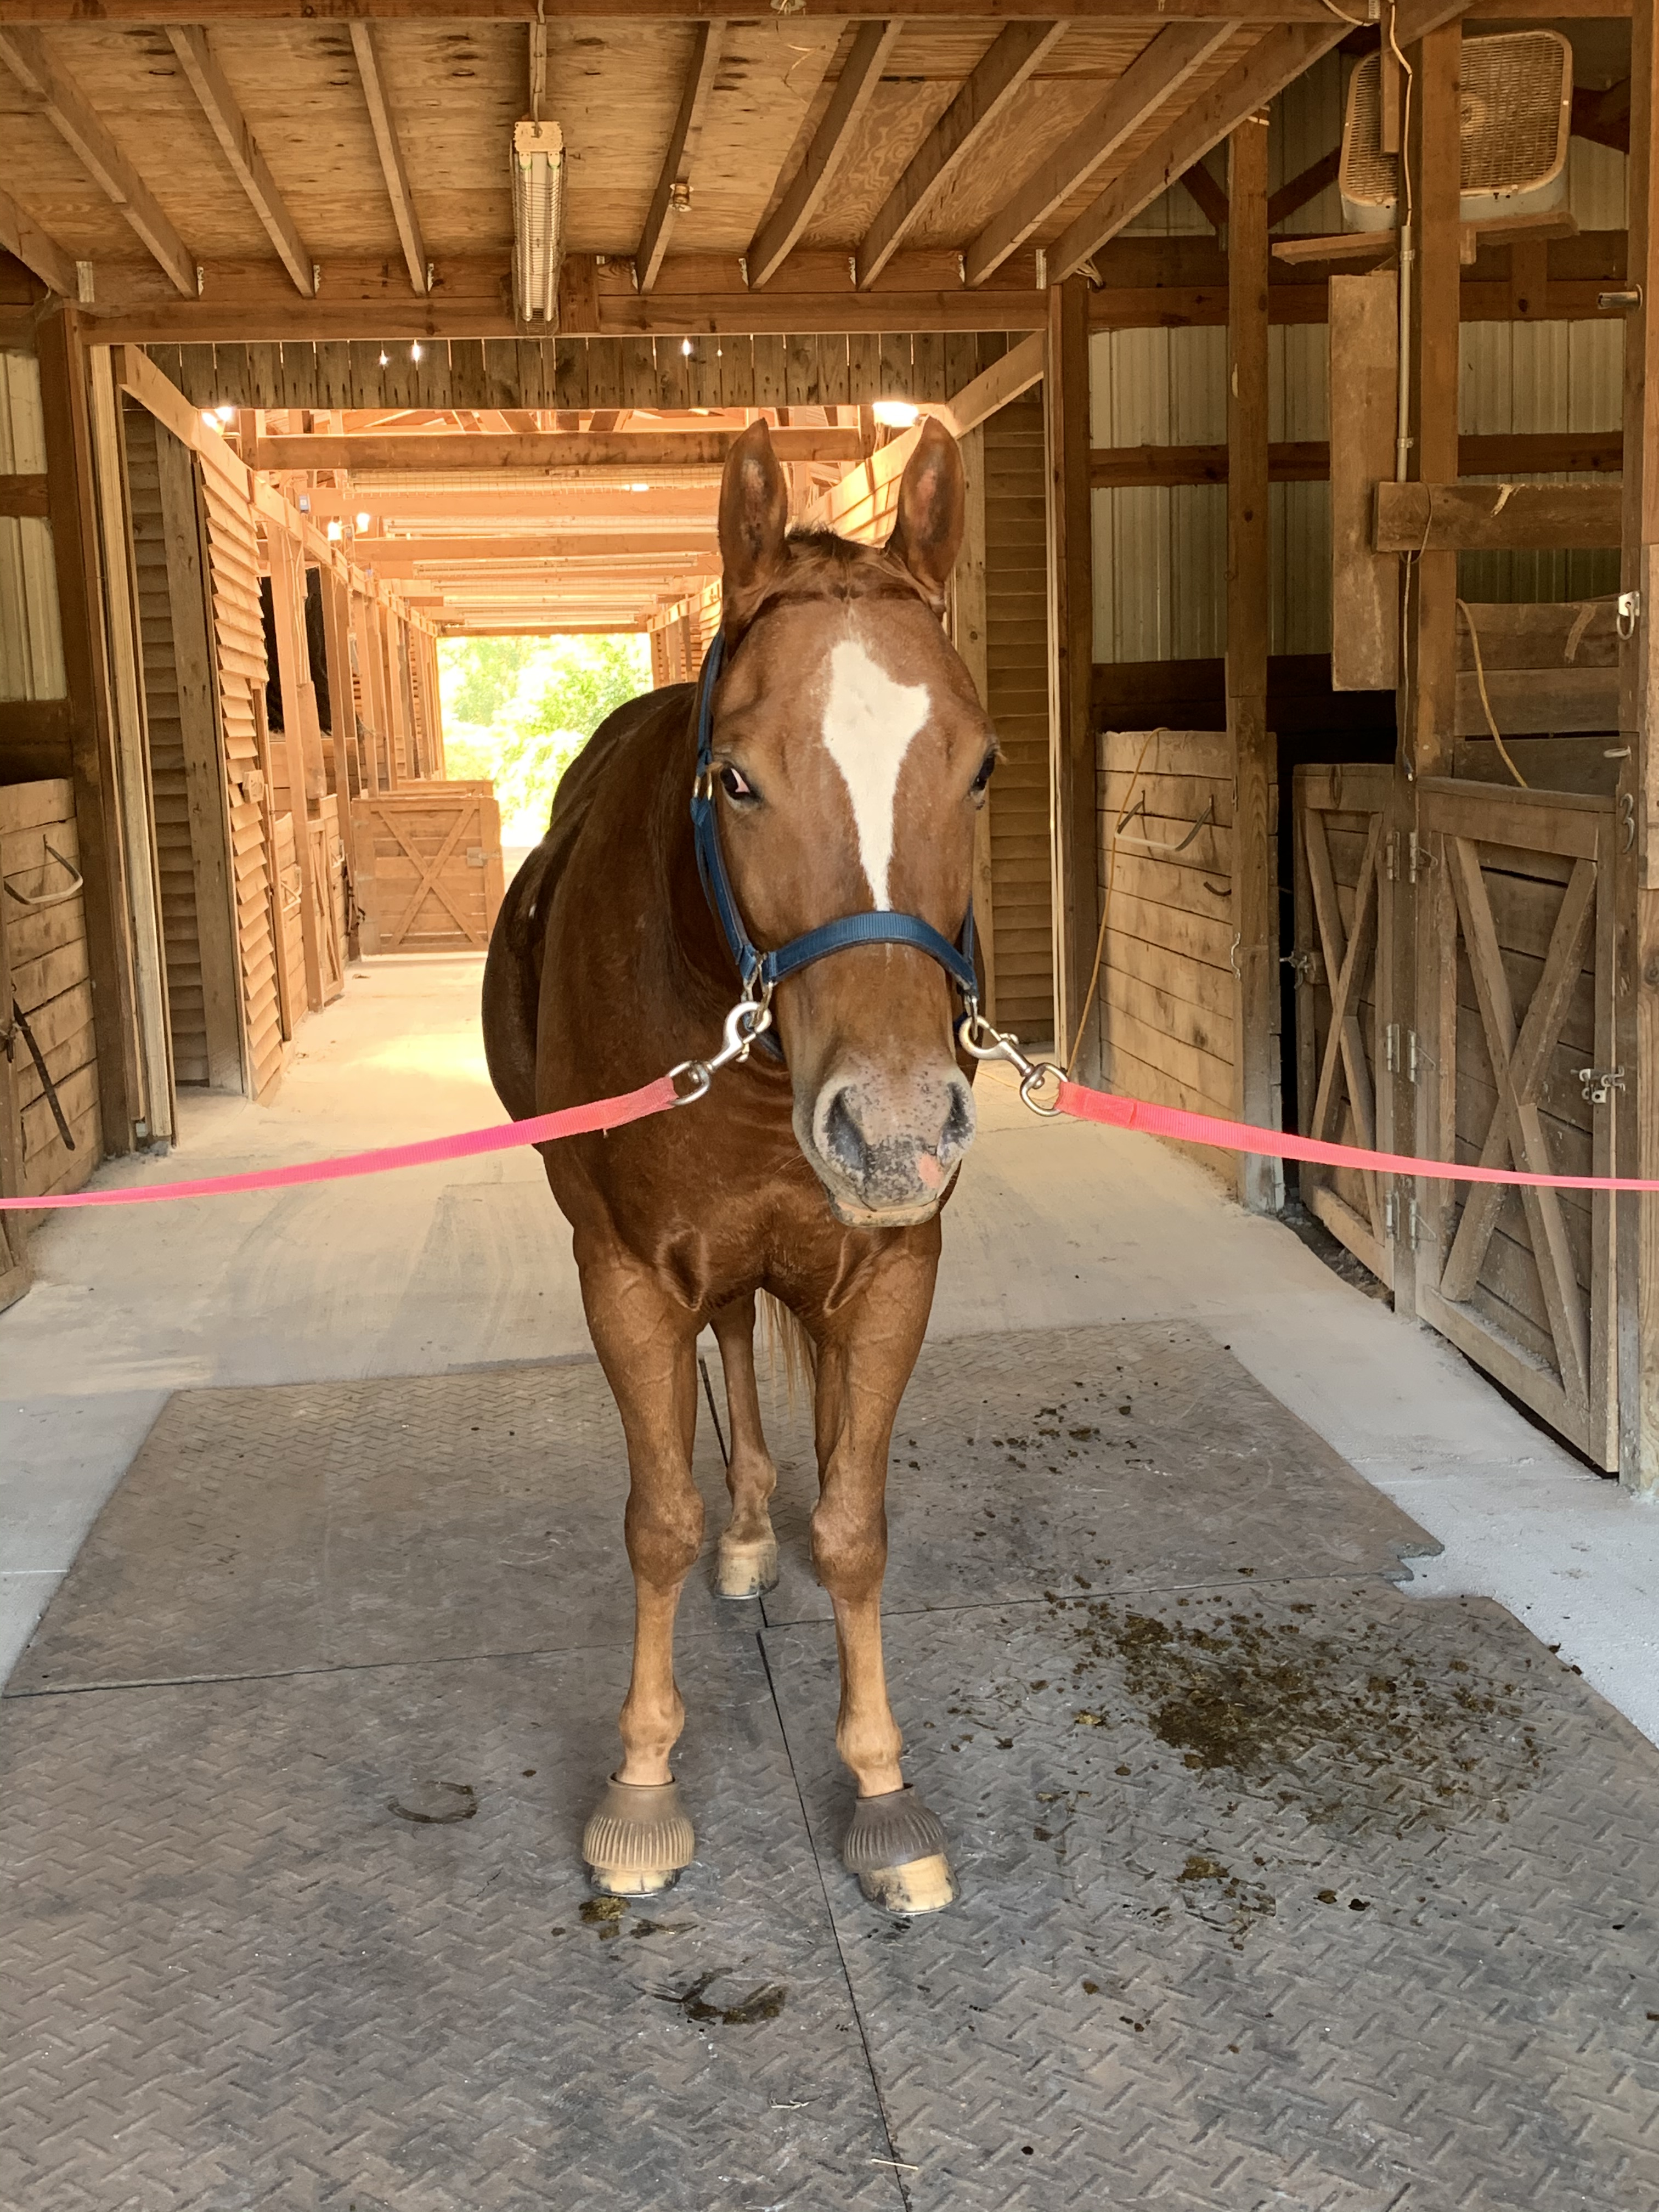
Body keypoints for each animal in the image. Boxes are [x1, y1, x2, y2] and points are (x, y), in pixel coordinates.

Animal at [482, 417, 998, 1915]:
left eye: (982, 768)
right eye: (737, 779)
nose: (897, 1129)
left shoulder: (890, 1270)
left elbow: (858, 1525)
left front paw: (883, 1792)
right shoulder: (623, 1275)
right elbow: (656, 1517)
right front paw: (643, 1785)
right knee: (722, 1354)